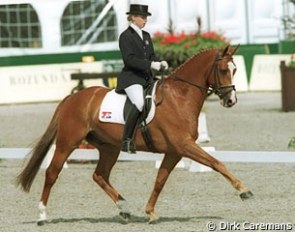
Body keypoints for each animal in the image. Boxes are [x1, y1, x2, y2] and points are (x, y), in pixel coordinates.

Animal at [16, 44, 253, 225]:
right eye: (223, 70)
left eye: (235, 69)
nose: (230, 100)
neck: (179, 97)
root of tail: (71, 98)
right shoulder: (184, 145)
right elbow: (216, 163)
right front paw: (243, 190)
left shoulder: (175, 151)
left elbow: (160, 180)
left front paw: (150, 213)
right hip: (68, 143)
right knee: (52, 173)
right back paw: (42, 215)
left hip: (109, 147)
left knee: (100, 175)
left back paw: (125, 209)